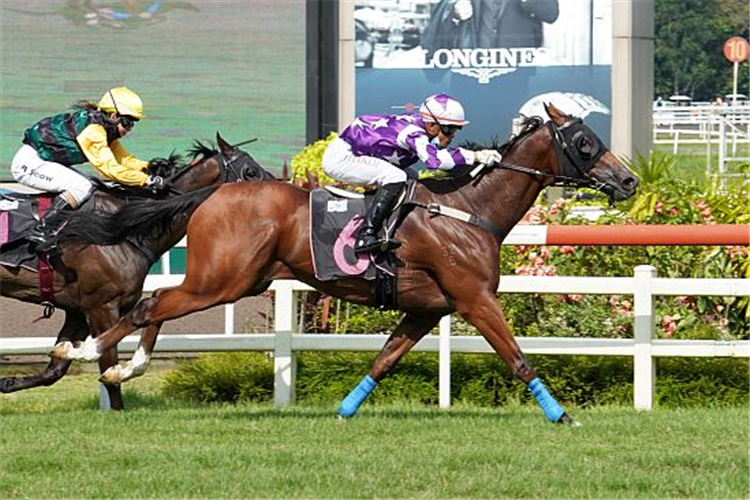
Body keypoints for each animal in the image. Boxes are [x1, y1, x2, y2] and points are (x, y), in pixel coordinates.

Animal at [0, 133, 270, 410]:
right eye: (250, 172)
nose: (275, 192)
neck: (124, 228)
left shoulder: (78, 310)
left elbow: (55, 369)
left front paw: (7, 383)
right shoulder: (102, 306)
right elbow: (107, 367)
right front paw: (117, 409)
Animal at [51, 105, 640, 422]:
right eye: (585, 142)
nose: (630, 180)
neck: (467, 209)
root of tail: (213, 193)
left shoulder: (426, 309)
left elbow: (383, 362)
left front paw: (345, 410)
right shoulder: (475, 299)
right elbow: (518, 359)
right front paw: (562, 415)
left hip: (234, 279)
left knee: (154, 305)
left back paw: (115, 362)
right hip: (221, 280)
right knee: (150, 305)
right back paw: (90, 353)